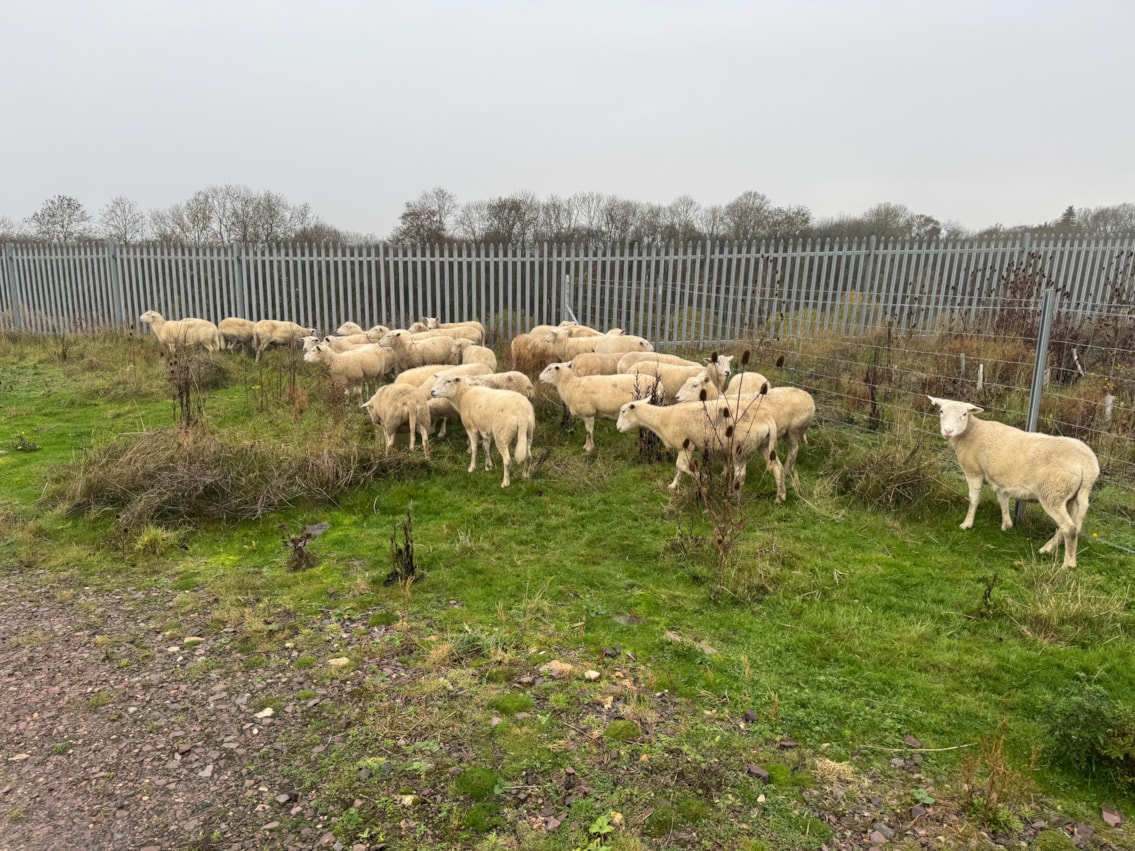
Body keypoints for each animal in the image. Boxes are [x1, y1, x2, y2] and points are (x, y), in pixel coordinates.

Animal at [616, 399, 784, 499]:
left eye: (623, 411)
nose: (617, 428)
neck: (662, 418)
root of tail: (768, 418)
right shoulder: (684, 448)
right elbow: (679, 469)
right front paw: (673, 485)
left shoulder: (685, 445)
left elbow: (681, 466)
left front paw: (703, 477)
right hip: (763, 444)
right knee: (778, 467)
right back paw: (780, 497)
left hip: (741, 447)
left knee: (740, 474)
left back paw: (733, 496)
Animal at [926, 396, 1100, 568]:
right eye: (941, 411)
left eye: (964, 414)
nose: (948, 431)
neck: (972, 432)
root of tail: (1088, 464)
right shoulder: (1000, 480)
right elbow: (1002, 500)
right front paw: (1006, 525)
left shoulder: (974, 472)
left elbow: (974, 499)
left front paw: (967, 524)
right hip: (1071, 496)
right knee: (1073, 526)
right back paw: (1048, 548)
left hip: (1052, 492)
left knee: (1069, 528)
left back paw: (1068, 564)